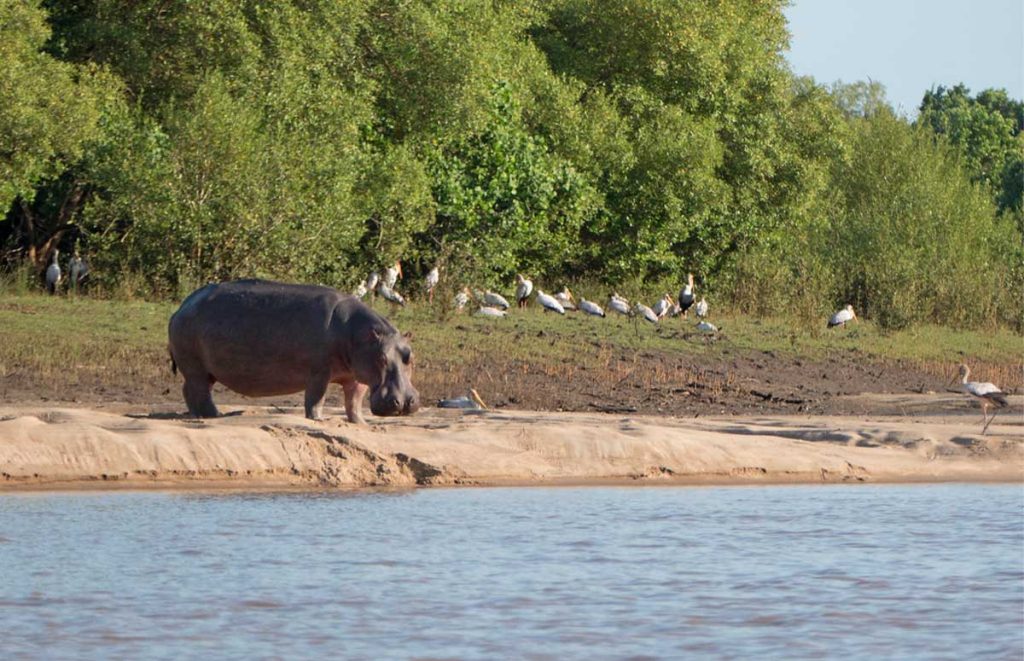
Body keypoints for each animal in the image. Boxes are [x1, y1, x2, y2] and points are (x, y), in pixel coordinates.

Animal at [167, 280, 419, 425]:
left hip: (204, 371)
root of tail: (182, 306)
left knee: (189, 391)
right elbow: (316, 398)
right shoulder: (319, 372)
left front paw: (360, 423)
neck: (358, 334)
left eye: (410, 358)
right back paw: (215, 416)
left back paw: (198, 416)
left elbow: (354, 401)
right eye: (382, 358)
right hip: (196, 368)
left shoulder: (356, 376)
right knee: (200, 392)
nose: (406, 402)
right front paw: (318, 419)